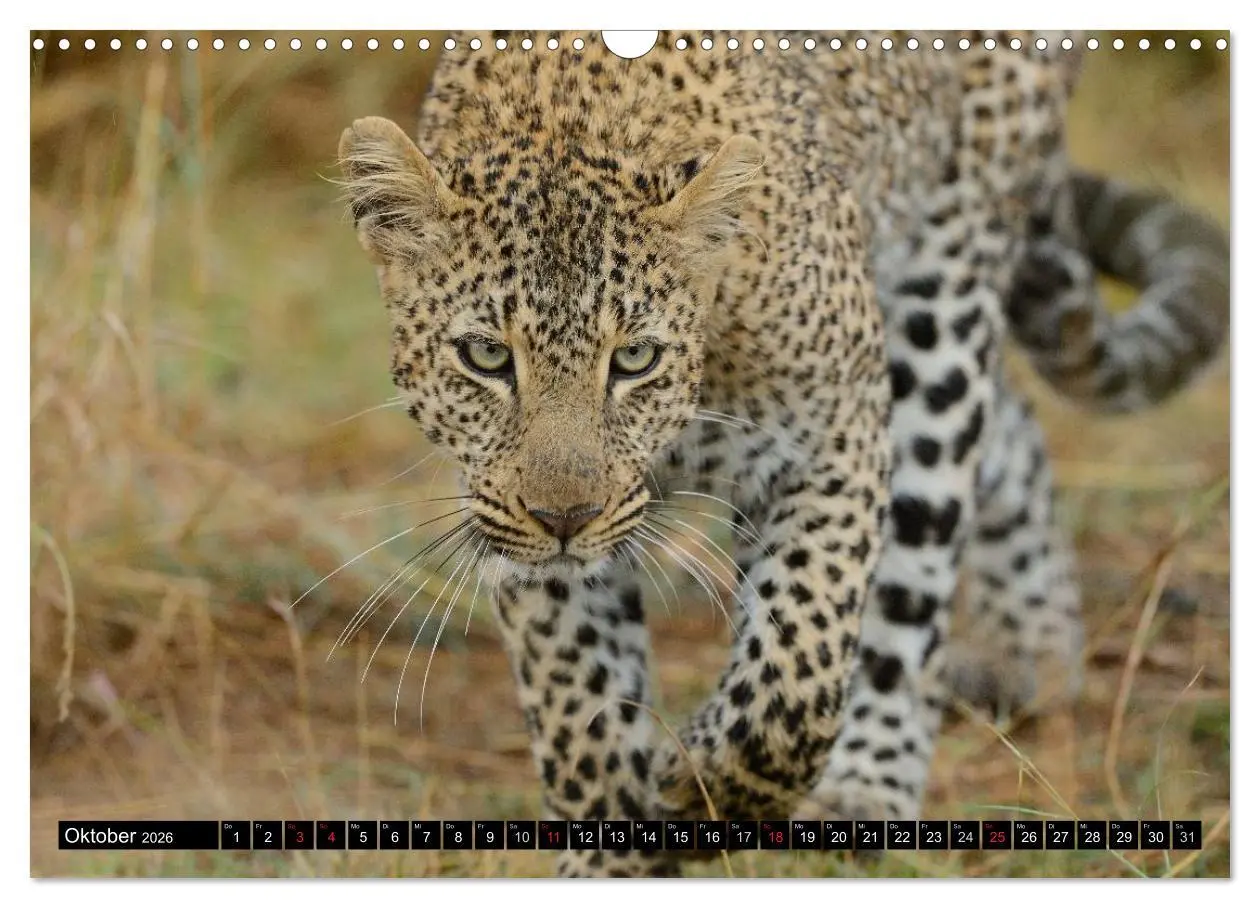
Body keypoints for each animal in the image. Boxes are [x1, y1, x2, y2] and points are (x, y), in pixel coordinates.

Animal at [336, 30, 1229, 876]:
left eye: (635, 359)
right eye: (487, 357)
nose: (566, 516)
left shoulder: (838, 427)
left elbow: (800, 659)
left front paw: (695, 788)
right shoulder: (510, 515)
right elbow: (579, 704)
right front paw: (614, 851)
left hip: (942, 287)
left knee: (919, 560)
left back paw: (872, 778)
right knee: (1011, 422)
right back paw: (1033, 647)